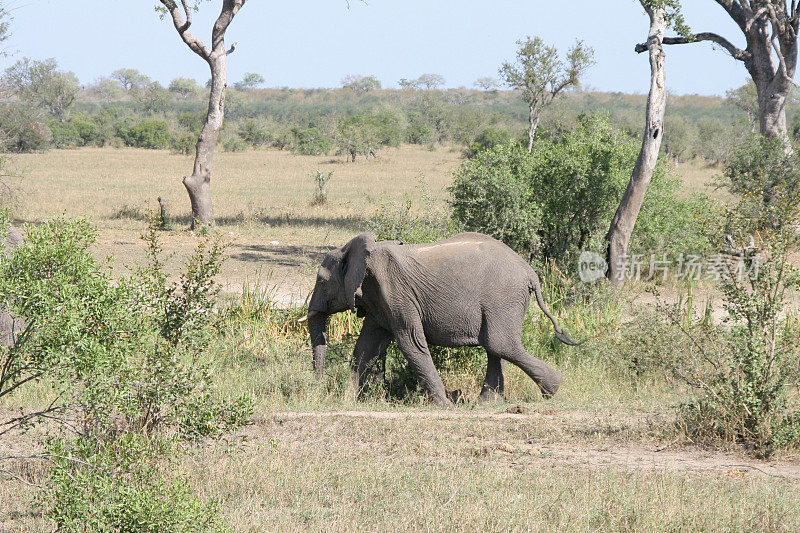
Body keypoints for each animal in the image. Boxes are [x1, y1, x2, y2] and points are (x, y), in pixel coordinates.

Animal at [304, 231, 580, 406]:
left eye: (322, 282)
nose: (318, 387)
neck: (355, 250)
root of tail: (530, 273)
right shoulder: (377, 301)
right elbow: (366, 349)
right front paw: (346, 400)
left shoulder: (396, 292)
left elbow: (411, 343)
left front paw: (444, 405)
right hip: (504, 301)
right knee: (495, 346)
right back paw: (487, 403)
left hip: (504, 296)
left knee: (500, 344)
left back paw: (554, 388)